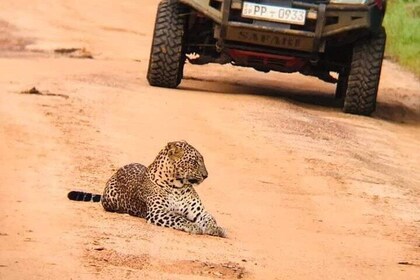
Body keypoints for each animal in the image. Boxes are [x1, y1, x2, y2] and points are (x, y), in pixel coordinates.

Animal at [68, 140, 226, 236]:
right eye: (194, 162)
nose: (206, 175)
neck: (178, 186)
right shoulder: (158, 211)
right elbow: (178, 218)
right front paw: (194, 226)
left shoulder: (199, 212)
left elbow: (210, 219)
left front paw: (217, 229)